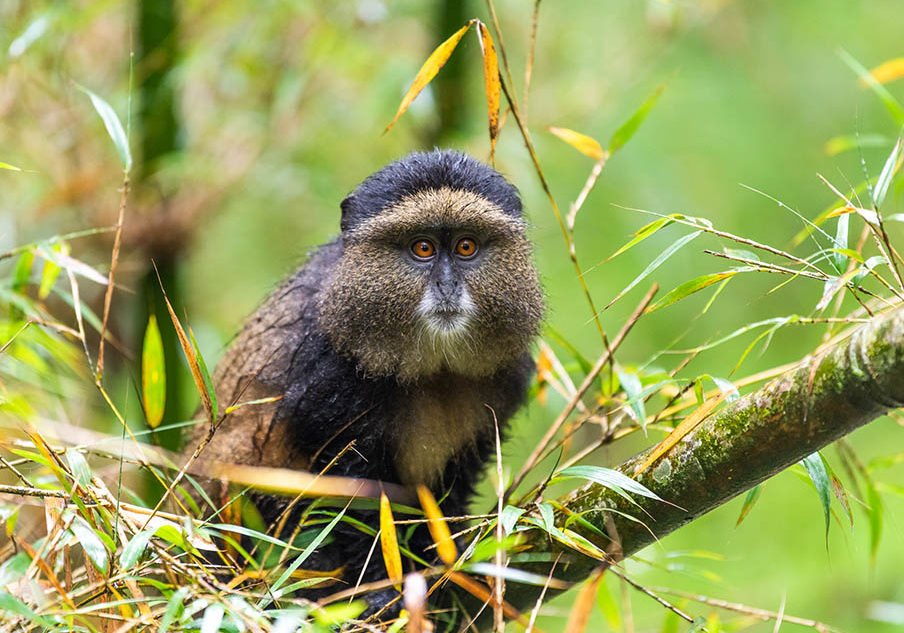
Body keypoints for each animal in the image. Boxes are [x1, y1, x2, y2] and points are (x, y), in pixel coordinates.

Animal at [187, 149, 544, 614]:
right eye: (423, 248)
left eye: (466, 246)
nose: (447, 285)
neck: (434, 367)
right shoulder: (327, 376)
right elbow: (351, 497)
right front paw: (378, 588)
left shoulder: (504, 379)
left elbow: (451, 485)